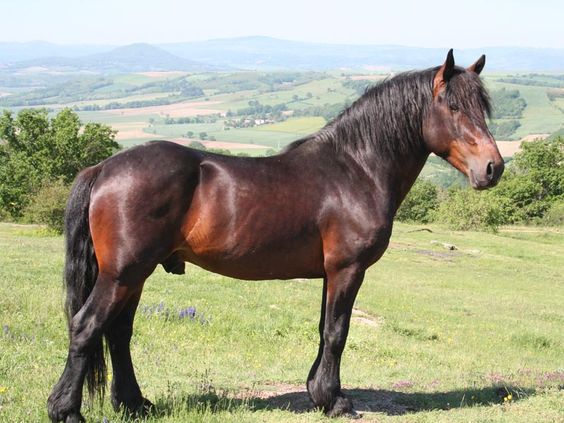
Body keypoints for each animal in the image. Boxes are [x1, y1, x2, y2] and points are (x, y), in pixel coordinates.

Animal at [47, 51, 502, 422]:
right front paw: (335, 401)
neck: (355, 169)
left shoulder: (329, 272)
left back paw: (135, 404)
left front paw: (318, 393)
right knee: (87, 327)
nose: (493, 168)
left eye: (483, 107)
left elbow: (324, 328)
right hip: (122, 274)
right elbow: (338, 332)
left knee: (118, 332)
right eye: (454, 106)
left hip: (134, 275)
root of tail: (104, 168)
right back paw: (67, 410)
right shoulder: (347, 269)